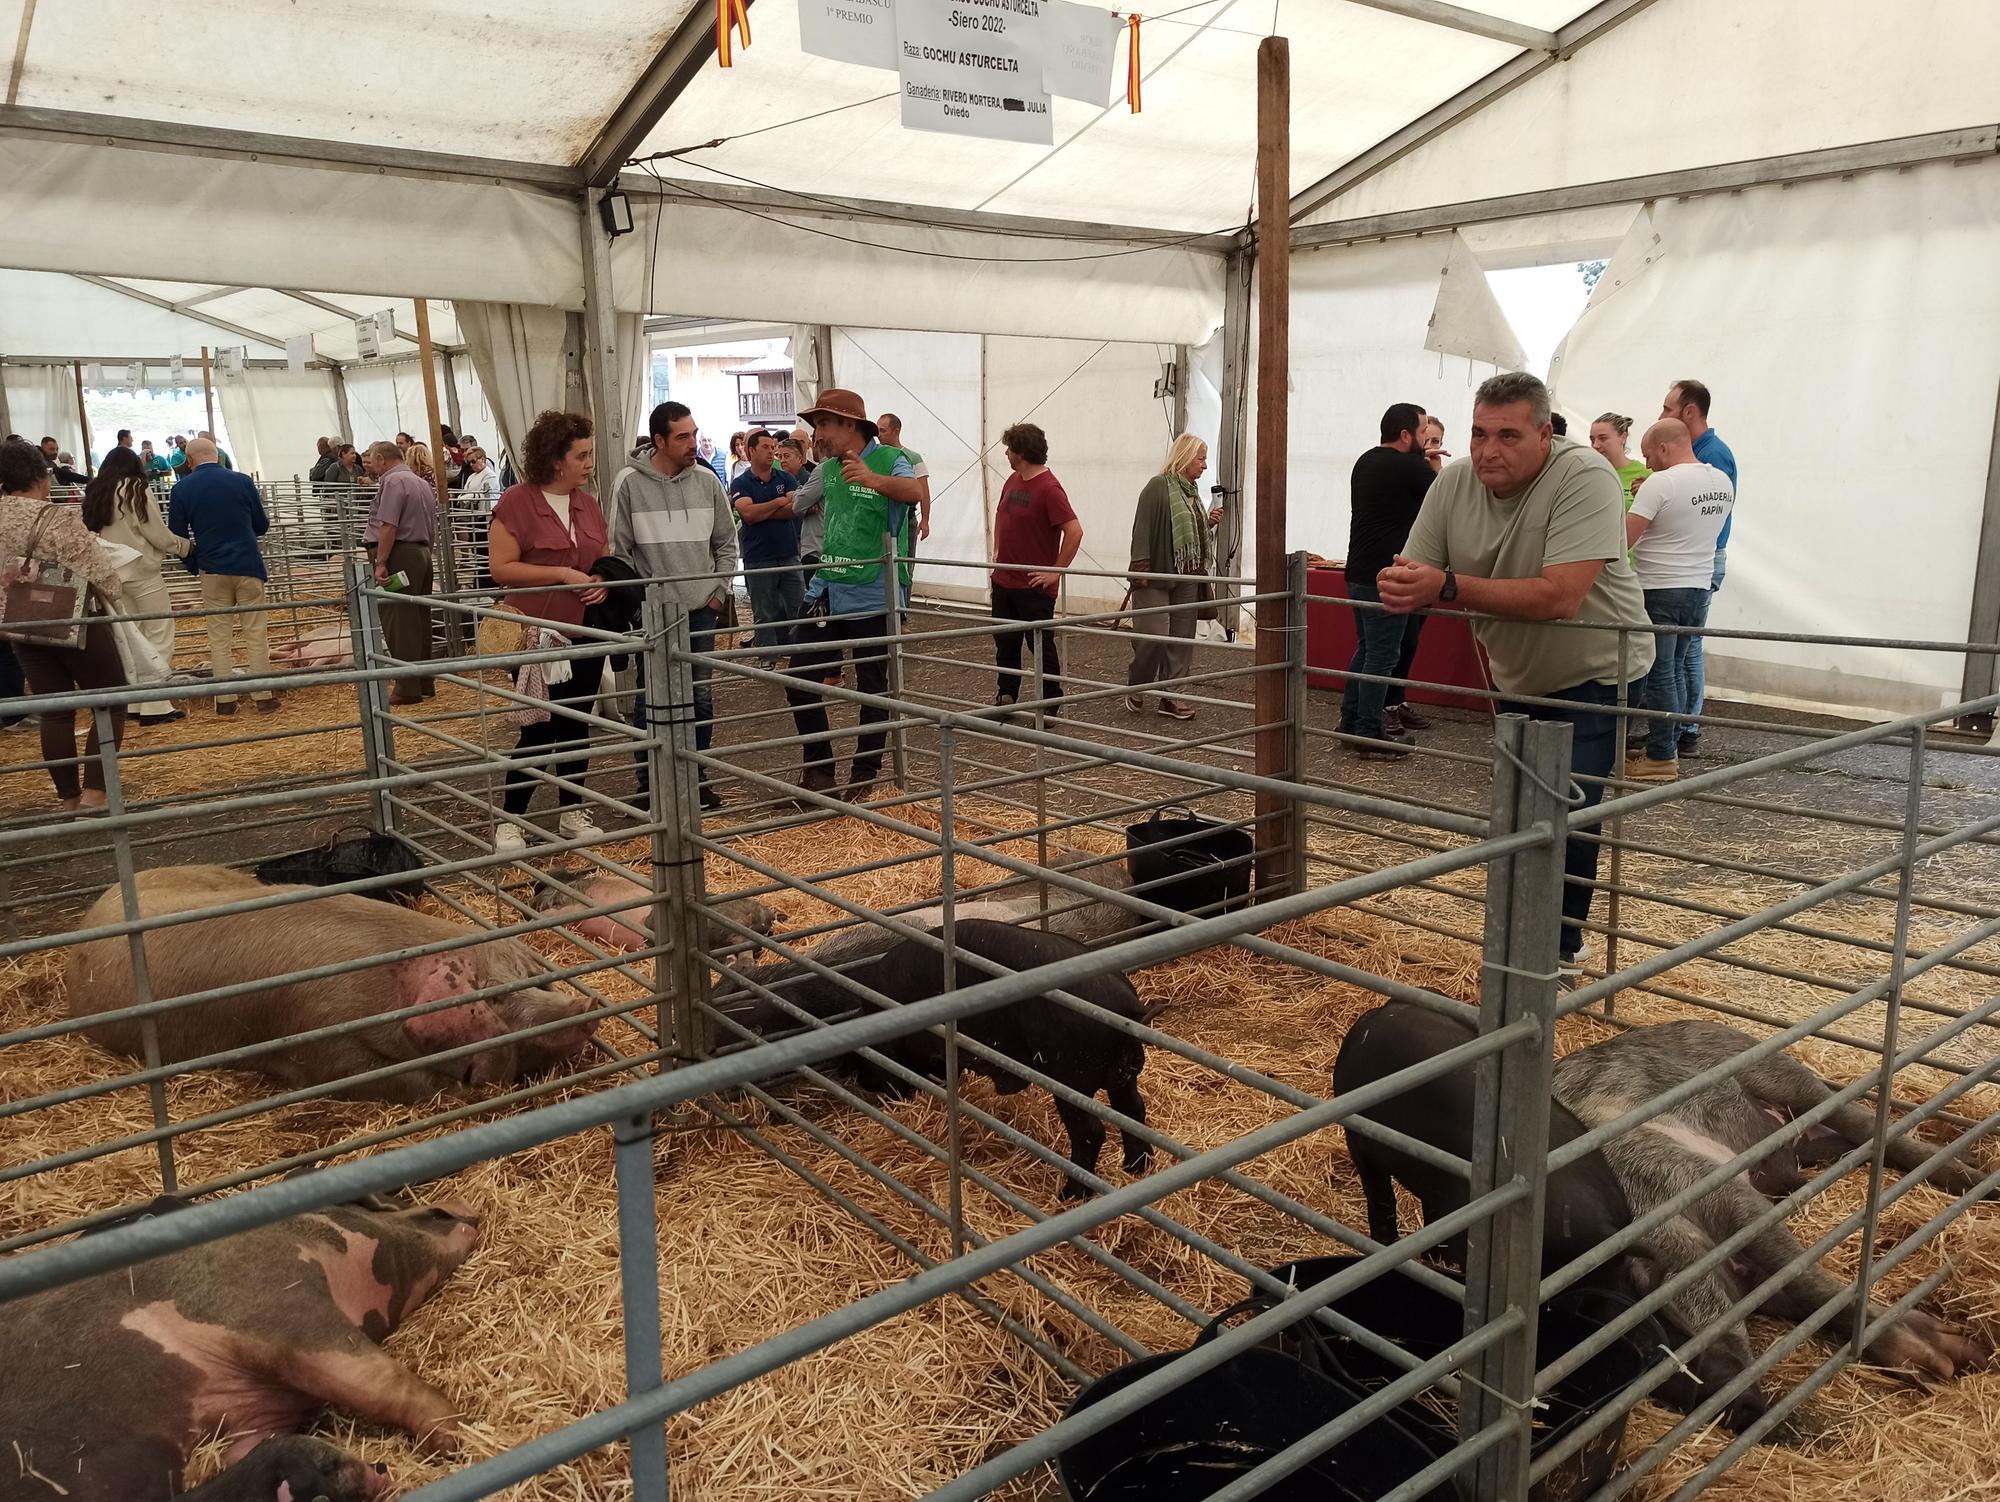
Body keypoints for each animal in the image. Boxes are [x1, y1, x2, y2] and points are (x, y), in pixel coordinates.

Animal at [0, 1192, 480, 1496]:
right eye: (366, 1205)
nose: (461, 1207)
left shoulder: (261, 1416)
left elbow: (249, 1453)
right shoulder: (275, 1304)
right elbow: (380, 1382)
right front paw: (456, 1440)